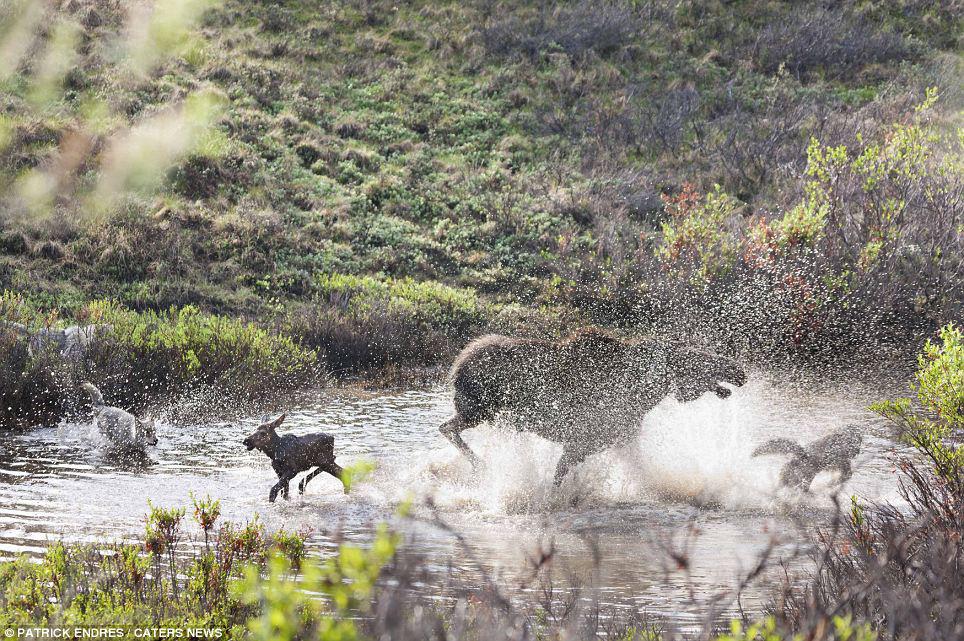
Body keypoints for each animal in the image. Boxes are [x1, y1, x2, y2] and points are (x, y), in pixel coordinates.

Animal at [440, 328, 748, 482]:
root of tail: (456, 368)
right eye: (696, 357)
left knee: (447, 427)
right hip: (479, 411)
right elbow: (557, 479)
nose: (739, 371)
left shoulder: (616, 439)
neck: (644, 395)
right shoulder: (582, 441)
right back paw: (481, 465)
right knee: (446, 427)